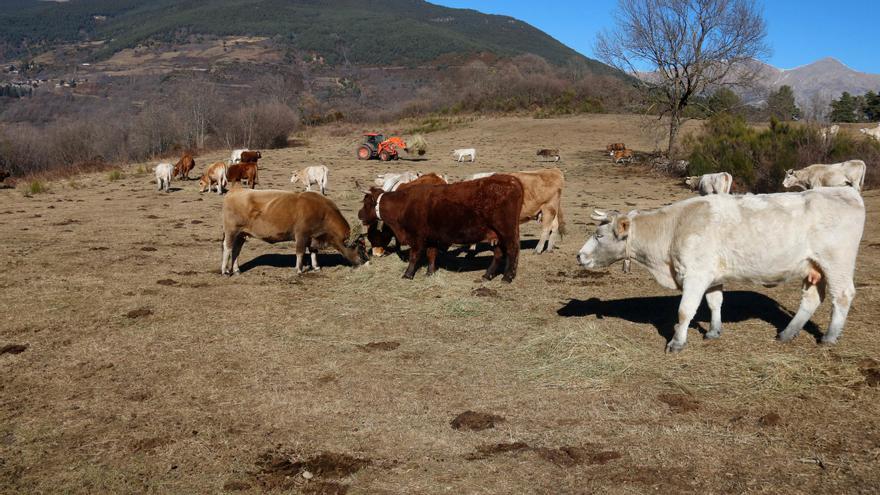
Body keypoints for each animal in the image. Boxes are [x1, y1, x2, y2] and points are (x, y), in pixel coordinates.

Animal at [225, 189, 370, 276]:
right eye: (360, 247)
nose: (366, 261)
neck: (323, 212)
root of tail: (236, 190)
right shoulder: (301, 235)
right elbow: (300, 252)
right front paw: (299, 270)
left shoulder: (313, 236)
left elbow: (313, 252)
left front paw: (316, 267)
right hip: (232, 231)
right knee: (228, 248)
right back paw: (225, 270)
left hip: (241, 235)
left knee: (236, 250)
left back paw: (236, 270)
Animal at [358, 174, 524, 282]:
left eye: (366, 202)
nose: (359, 214)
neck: (404, 204)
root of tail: (512, 180)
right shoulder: (431, 237)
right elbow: (432, 254)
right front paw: (430, 273)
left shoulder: (416, 238)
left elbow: (414, 256)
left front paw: (407, 274)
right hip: (496, 234)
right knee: (499, 253)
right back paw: (487, 275)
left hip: (506, 231)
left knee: (512, 250)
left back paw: (507, 277)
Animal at [576, 188, 868, 354]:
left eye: (599, 235)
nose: (579, 256)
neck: (673, 228)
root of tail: (847, 192)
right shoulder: (711, 276)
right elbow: (715, 302)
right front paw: (714, 331)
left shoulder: (695, 275)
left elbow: (685, 311)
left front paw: (677, 342)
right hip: (814, 267)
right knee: (811, 299)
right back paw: (787, 333)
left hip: (837, 262)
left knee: (842, 295)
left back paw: (829, 337)